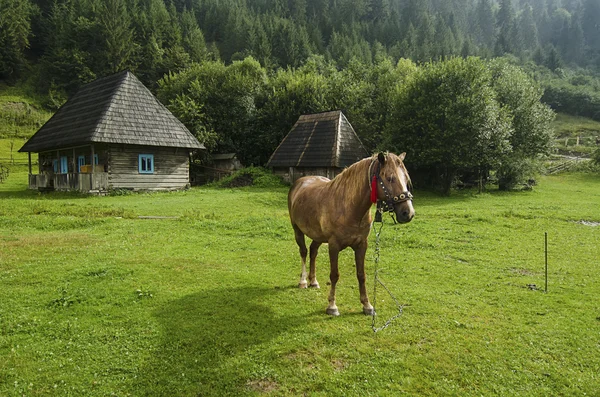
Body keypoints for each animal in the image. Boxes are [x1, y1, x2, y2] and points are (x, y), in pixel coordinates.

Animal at [290, 152, 412, 316]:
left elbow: (361, 275)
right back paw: (303, 281)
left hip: (318, 236)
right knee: (303, 252)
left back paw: (313, 281)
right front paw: (332, 306)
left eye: (406, 179)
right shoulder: (333, 246)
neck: (349, 207)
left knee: (313, 251)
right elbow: (334, 275)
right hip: (297, 230)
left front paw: (367, 306)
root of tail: (300, 182)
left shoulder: (361, 245)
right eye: (389, 178)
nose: (408, 213)